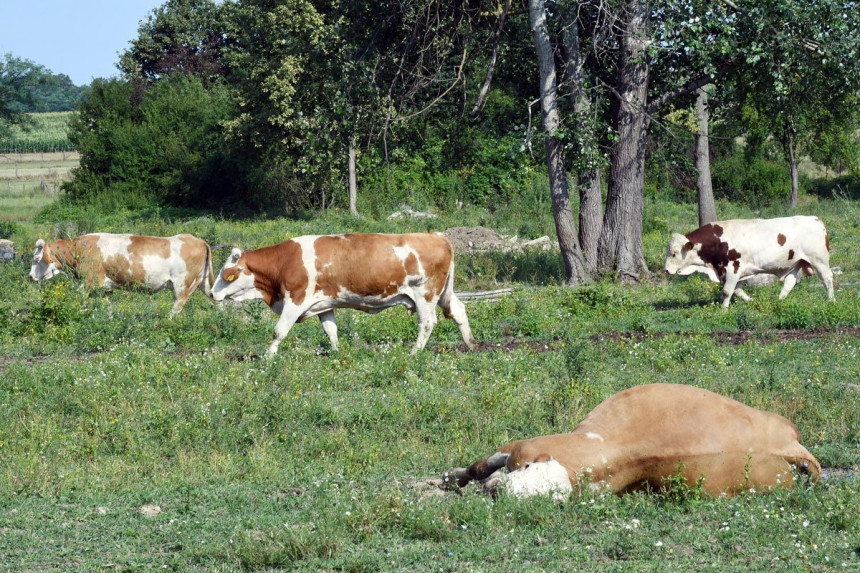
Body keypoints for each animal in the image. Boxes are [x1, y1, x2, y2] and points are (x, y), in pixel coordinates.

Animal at [30, 232, 215, 318]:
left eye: (37, 259)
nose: (30, 276)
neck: (79, 250)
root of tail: (197, 240)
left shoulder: (89, 282)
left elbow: (81, 302)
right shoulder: (105, 288)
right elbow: (108, 307)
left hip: (181, 283)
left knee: (178, 305)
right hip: (203, 282)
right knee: (217, 298)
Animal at [209, 231, 478, 354]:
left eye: (226, 272)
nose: (211, 294)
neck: (285, 262)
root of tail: (437, 235)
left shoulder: (296, 299)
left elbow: (279, 331)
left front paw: (268, 357)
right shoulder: (324, 305)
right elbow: (331, 331)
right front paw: (337, 353)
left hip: (426, 294)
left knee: (427, 323)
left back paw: (414, 352)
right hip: (442, 293)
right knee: (459, 310)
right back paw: (472, 344)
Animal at [664, 216, 832, 306]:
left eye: (674, 253)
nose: (665, 270)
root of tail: (815, 219)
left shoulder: (734, 267)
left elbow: (727, 291)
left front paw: (723, 309)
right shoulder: (734, 271)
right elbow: (737, 290)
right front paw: (751, 300)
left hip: (819, 260)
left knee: (827, 279)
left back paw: (832, 300)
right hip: (796, 263)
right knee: (789, 283)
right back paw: (778, 300)